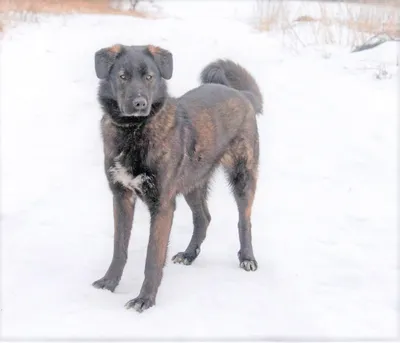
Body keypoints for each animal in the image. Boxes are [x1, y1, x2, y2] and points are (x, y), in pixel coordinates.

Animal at [92, 44, 264, 314]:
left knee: (243, 221)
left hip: (242, 177)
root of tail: (241, 94)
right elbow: (119, 248)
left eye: (149, 76)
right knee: (203, 218)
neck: (135, 132)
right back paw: (189, 254)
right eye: (122, 76)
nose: (140, 103)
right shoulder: (121, 198)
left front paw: (145, 300)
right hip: (192, 183)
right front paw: (109, 283)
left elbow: (153, 256)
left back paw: (247, 258)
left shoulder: (162, 205)